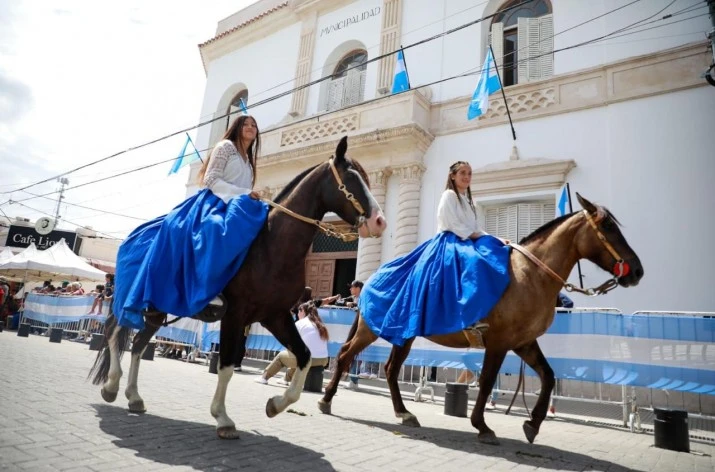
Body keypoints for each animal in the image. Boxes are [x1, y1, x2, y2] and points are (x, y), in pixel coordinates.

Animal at [92, 136, 388, 438]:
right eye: (351, 178)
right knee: (115, 334)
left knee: (138, 346)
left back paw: (133, 396)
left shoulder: (275, 316)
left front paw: (276, 404)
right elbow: (226, 365)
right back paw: (112, 386)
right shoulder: (235, 315)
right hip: (135, 302)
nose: (379, 221)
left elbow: (304, 357)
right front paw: (222, 418)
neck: (271, 247)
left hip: (156, 311)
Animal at [318, 194, 644, 444]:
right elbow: (487, 380)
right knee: (346, 356)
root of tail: (373, 278)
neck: (529, 275)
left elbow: (549, 376)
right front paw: (482, 425)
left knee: (390, 368)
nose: (637, 270)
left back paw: (404, 413)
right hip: (371, 329)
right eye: (607, 226)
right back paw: (326, 400)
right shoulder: (499, 342)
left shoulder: (524, 342)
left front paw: (532, 424)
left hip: (404, 334)